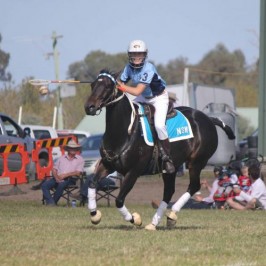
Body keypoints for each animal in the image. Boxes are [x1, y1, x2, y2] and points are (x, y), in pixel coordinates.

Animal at [83, 69, 235, 230]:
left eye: (108, 86)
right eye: (92, 85)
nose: (89, 107)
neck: (124, 132)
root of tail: (209, 119)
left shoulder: (133, 171)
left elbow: (119, 200)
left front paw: (135, 219)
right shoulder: (107, 165)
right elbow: (92, 183)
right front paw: (94, 215)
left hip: (196, 162)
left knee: (193, 186)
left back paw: (171, 215)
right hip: (172, 167)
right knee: (168, 191)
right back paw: (154, 223)